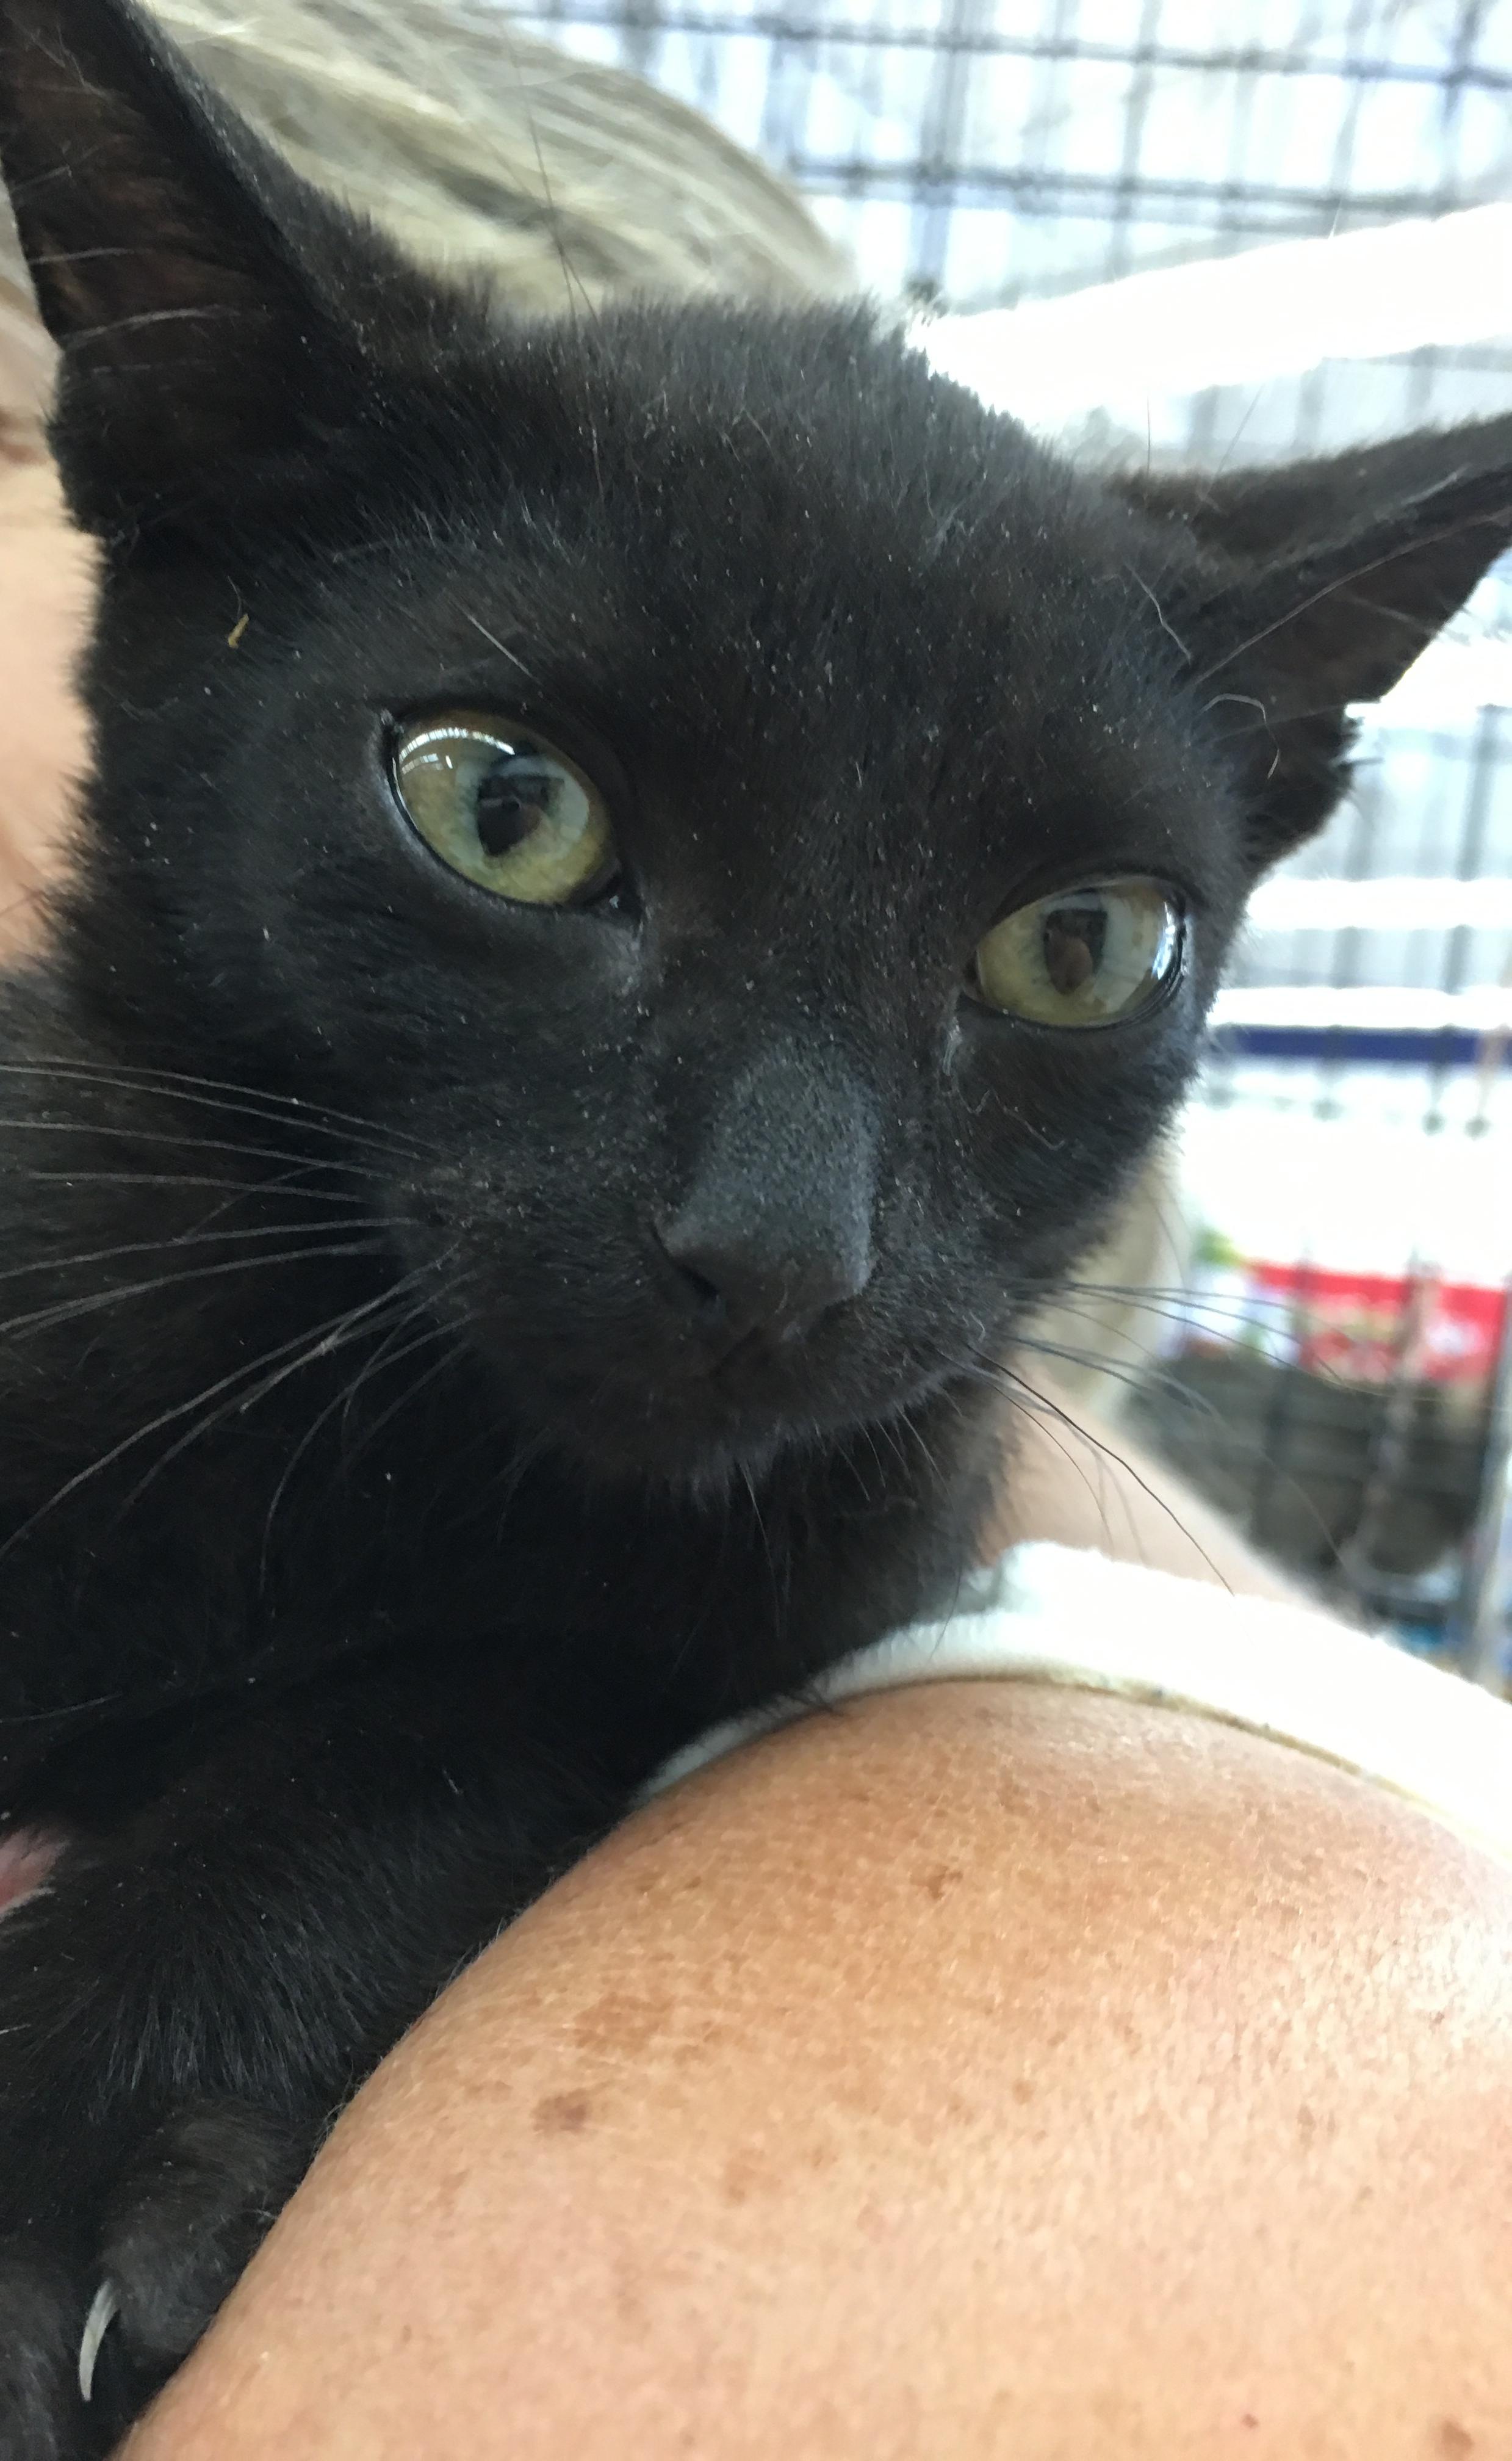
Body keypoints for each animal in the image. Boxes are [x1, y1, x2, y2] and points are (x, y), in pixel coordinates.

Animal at [0, 0, 1504, 2431]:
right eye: (500, 807)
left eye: (1080, 946)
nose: (787, 1247)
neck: (357, 1462)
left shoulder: (824, 1553)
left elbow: (444, 1720)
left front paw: (91, 2112)